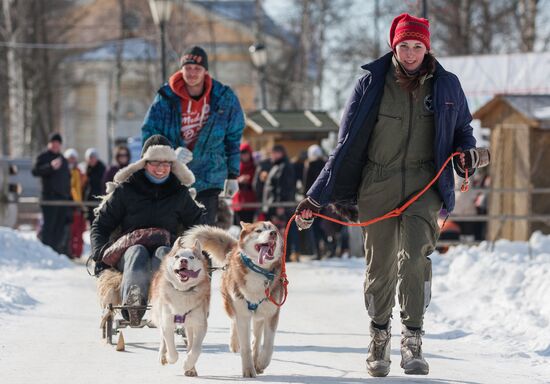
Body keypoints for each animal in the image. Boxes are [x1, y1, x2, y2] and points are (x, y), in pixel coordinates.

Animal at [150, 238, 212, 376]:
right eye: (177, 256)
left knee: (190, 341)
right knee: (162, 338)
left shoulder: (200, 324)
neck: (183, 292)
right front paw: (169, 357)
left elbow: (195, 349)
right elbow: (171, 349)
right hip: (159, 314)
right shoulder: (167, 322)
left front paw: (188, 364)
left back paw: (191, 368)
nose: (183, 260)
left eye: (191, 257)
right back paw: (162, 355)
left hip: (189, 325)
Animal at [181, 220, 284, 376]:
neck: (259, 272)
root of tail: (233, 249)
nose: (272, 234)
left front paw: (261, 363)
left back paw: (257, 360)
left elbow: (268, 345)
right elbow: (246, 346)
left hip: (259, 314)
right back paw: (235, 343)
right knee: (234, 322)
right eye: (259, 231)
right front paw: (248, 370)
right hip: (231, 304)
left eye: (275, 231)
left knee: (256, 338)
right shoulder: (243, 313)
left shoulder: (272, 313)